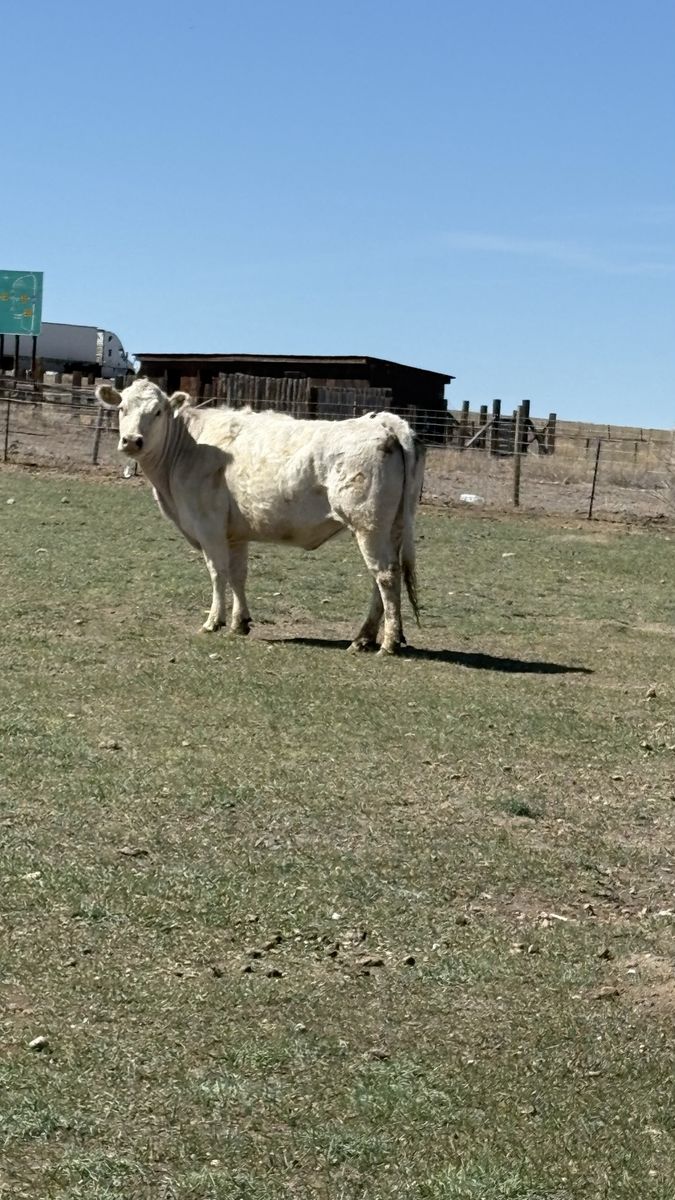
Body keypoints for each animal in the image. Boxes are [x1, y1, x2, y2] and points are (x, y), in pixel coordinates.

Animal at [96, 379, 426, 655]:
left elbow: (217, 572)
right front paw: (239, 622)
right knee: (382, 579)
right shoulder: (235, 533)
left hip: (368, 524)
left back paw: (388, 642)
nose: (132, 441)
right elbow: (238, 574)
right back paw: (364, 638)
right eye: (122, 407)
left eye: (158, 411)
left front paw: (213, 621)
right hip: (391, 527)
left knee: (385, 576)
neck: (188, 447)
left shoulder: (208, 526)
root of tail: (384, 421)